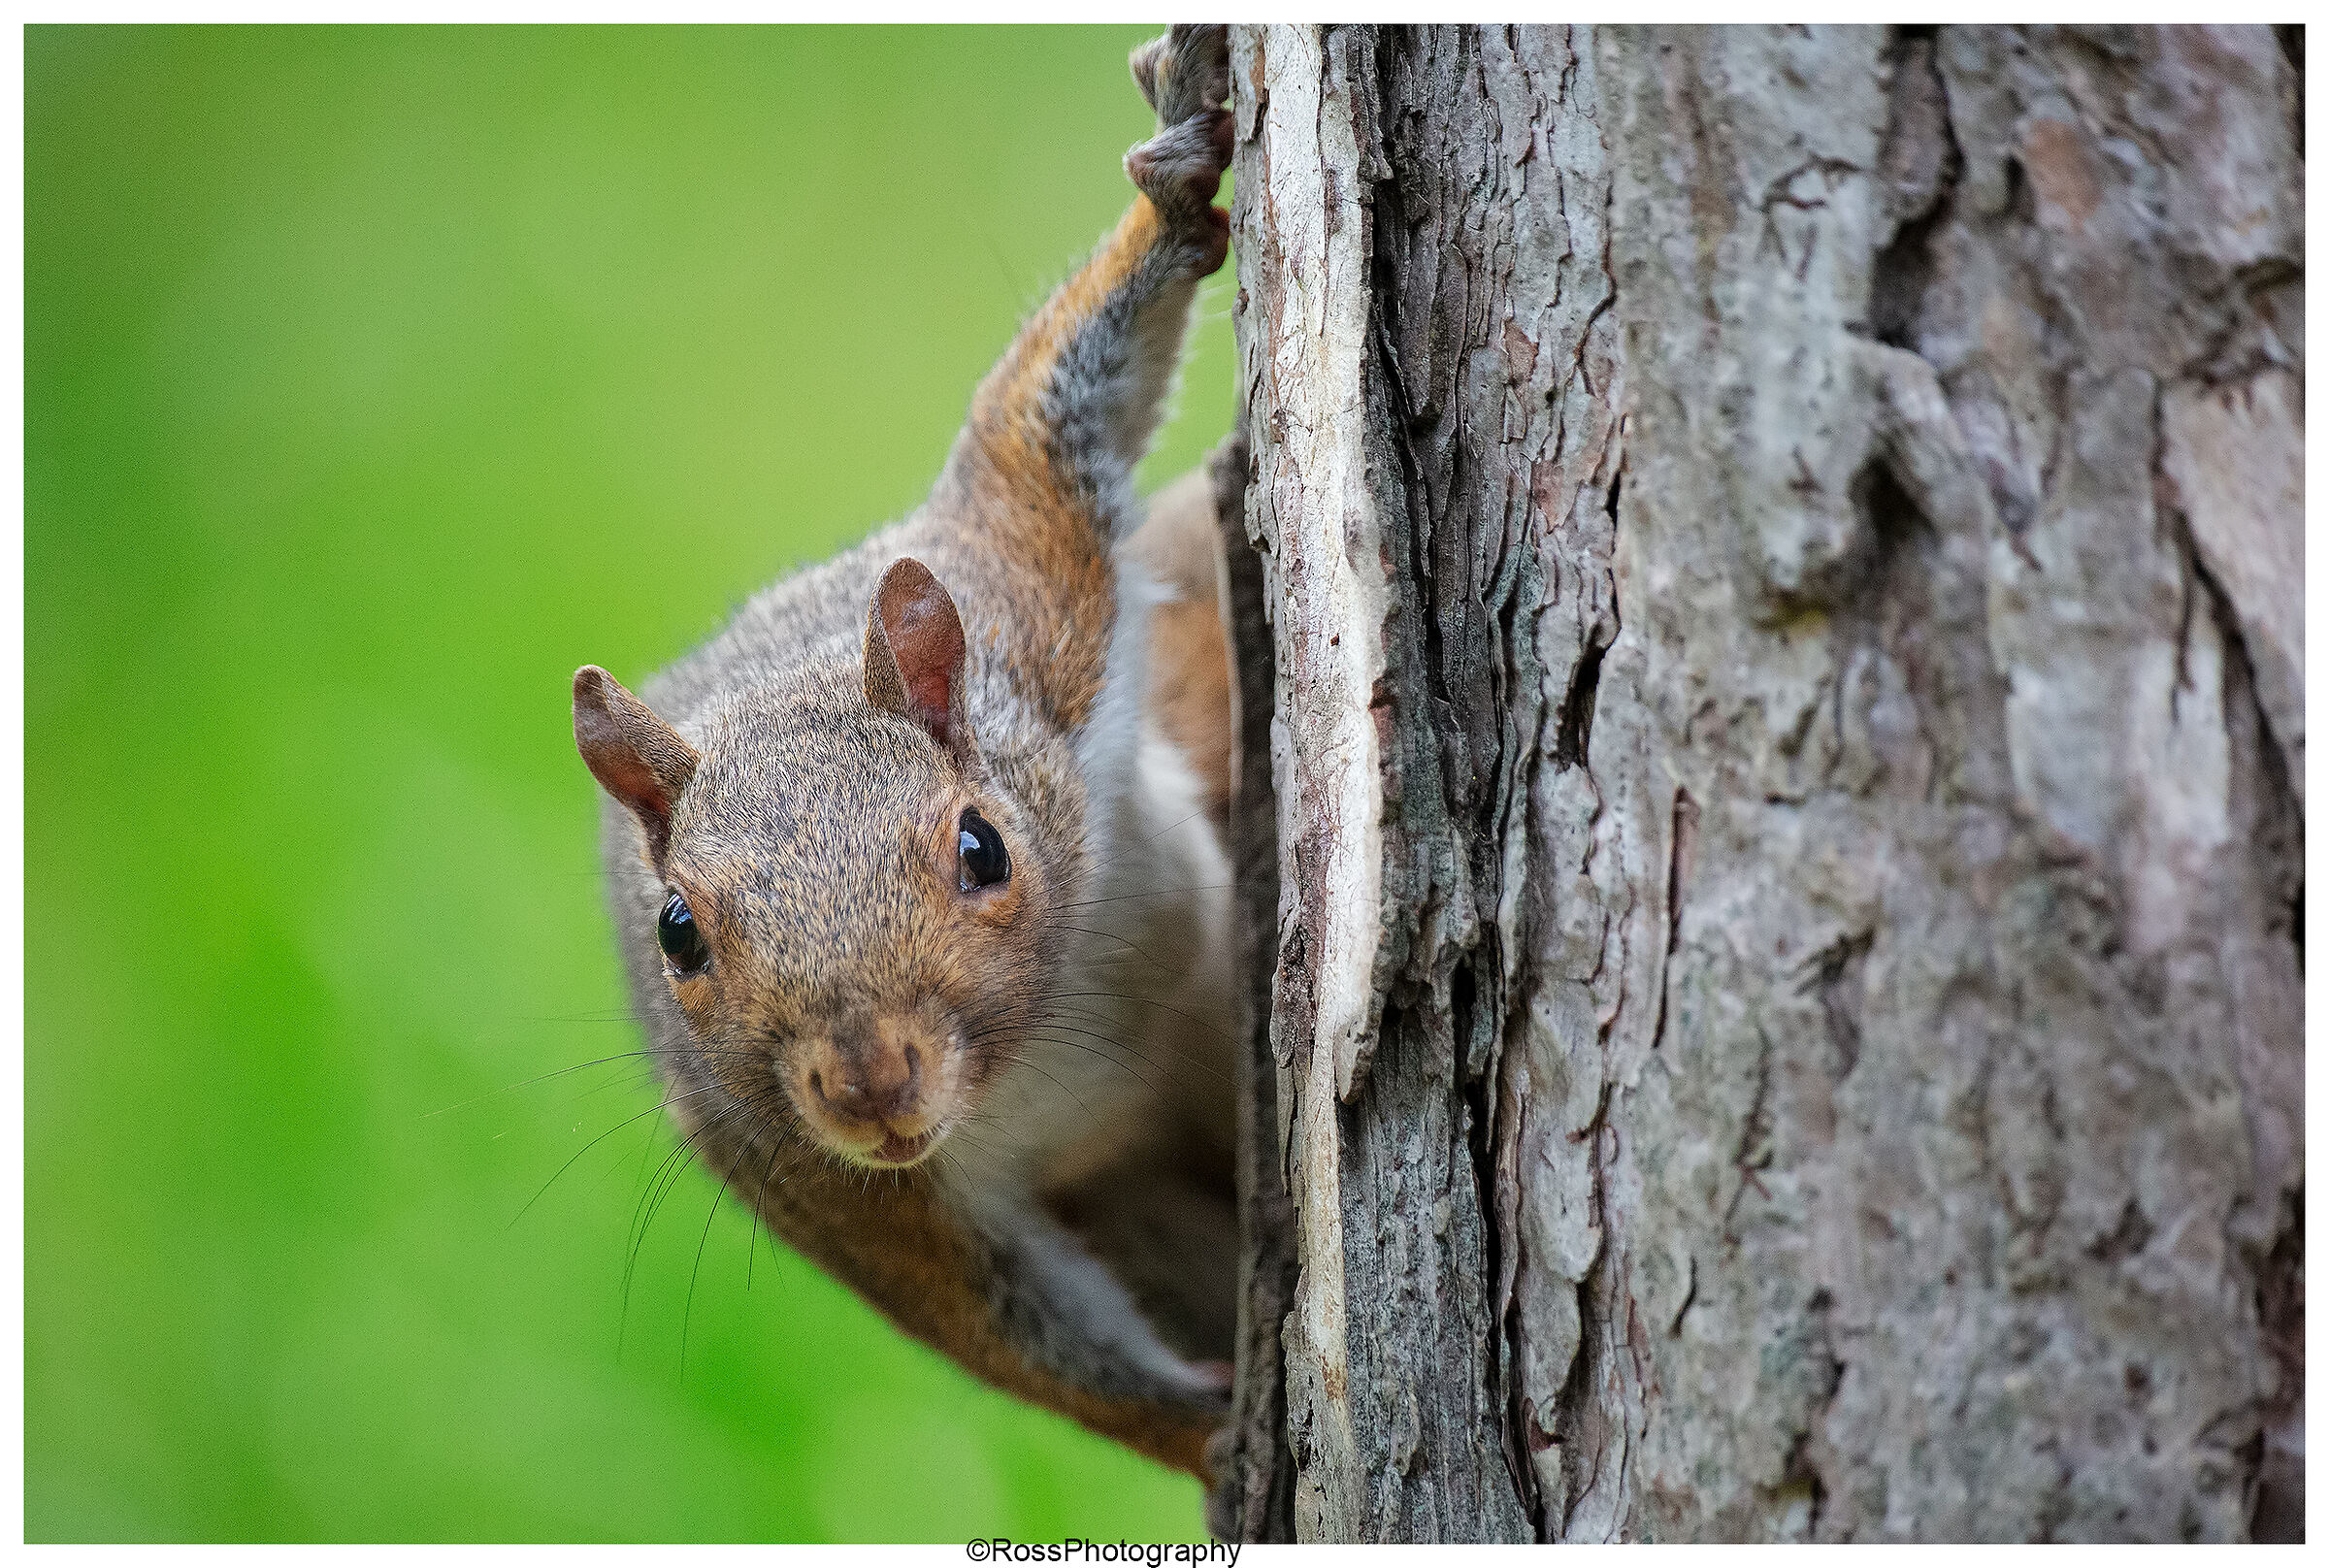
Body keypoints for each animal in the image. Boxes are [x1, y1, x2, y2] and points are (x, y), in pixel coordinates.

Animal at [571, 26, 1240, 1477]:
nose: (871, 1082)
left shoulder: (1036, 601)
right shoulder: (836, 1193)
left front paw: (1170, 192)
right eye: (676, 934)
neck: (1037, 1048)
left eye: (983, 849)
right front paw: (1221, 1431)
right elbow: (1021, 1338)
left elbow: (1046, 423)